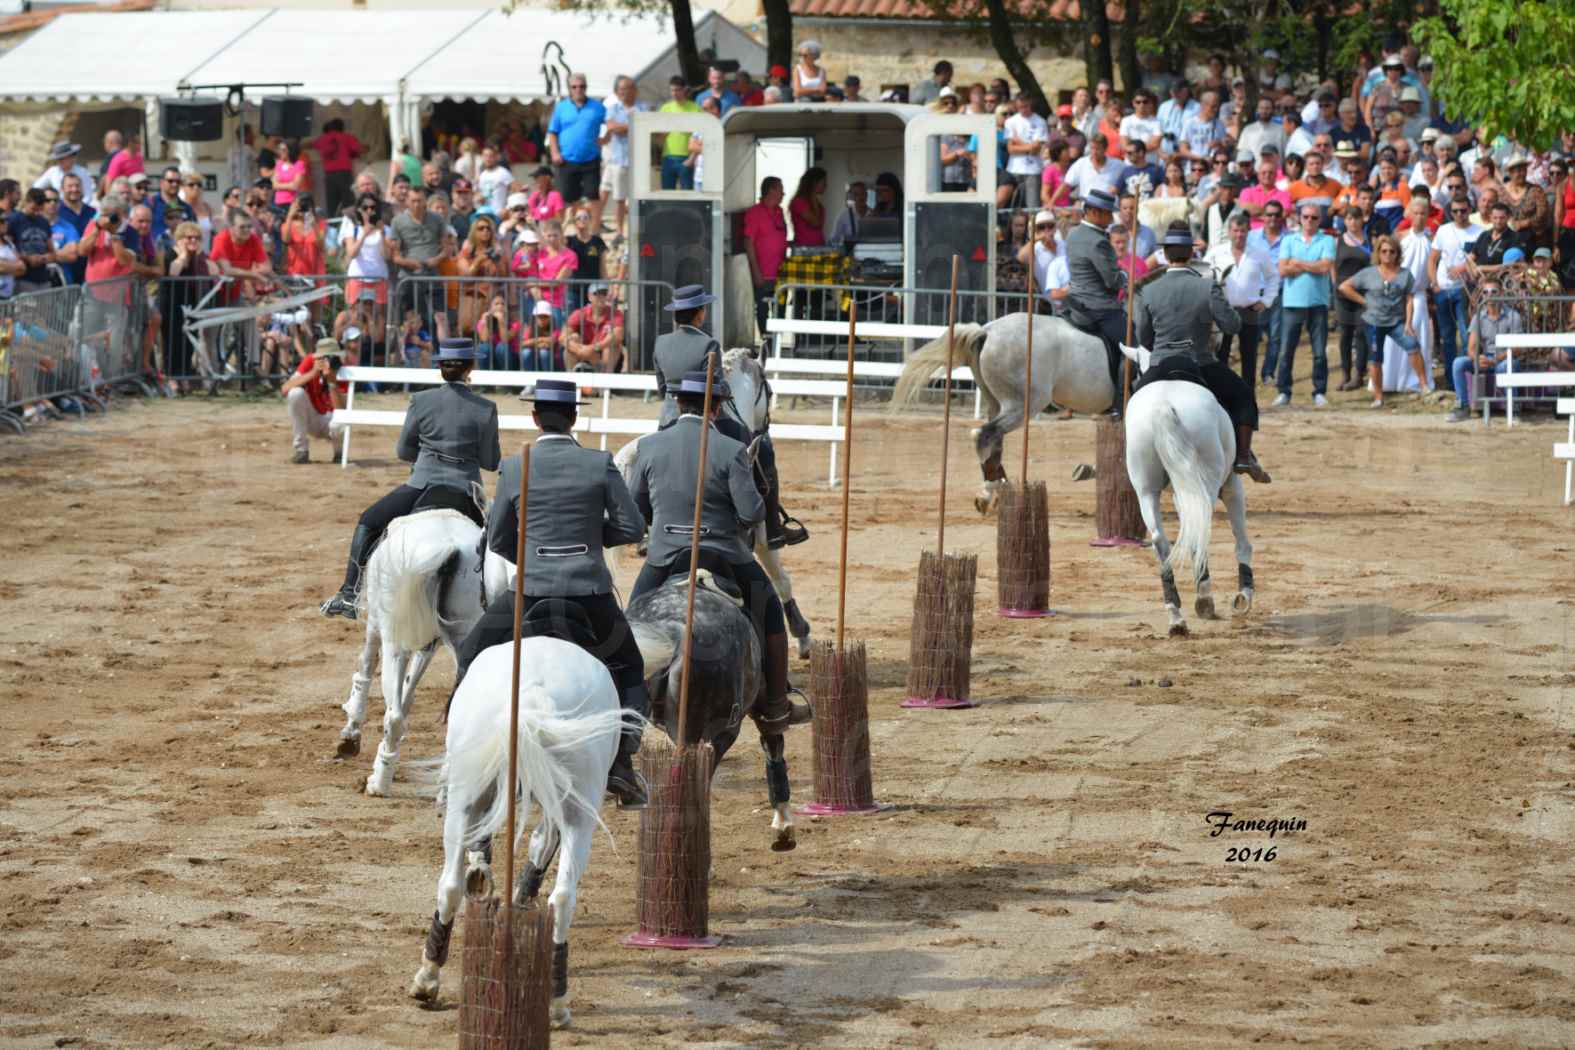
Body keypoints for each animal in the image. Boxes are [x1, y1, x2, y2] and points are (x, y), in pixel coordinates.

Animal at [338, 510, 510, 796]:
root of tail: (450, 550)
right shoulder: (428, 645)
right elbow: (409, 693)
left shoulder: (377, 625)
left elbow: (366, 670)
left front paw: (350, 736)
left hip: (395, 641)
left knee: (394, 715)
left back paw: (379, 783)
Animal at [406, 632, 626, 1026]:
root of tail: (534, 692)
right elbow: (540, 845)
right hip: (577, 811)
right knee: (562, 897)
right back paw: (556, 1002)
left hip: (466, 798)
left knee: (451, 885)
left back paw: (428, 977)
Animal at [888, 314, 1121, 516]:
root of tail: (987, 331)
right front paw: (1092, 470)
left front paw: (1090, 470)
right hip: (1023, 405)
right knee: (985, 435)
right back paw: (989, 491)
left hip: (998, 403)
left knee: (995, 439)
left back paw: (1000, 490)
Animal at [1121, 349, 1253, 635]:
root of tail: (1163, 404)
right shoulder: (1231, 485)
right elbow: (1241, 540)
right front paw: (1244, 594)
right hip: (1207, 484)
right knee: (1198, 532)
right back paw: (1204, 599)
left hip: (1146, 490)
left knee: (1160, 539)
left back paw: (1176, 615)